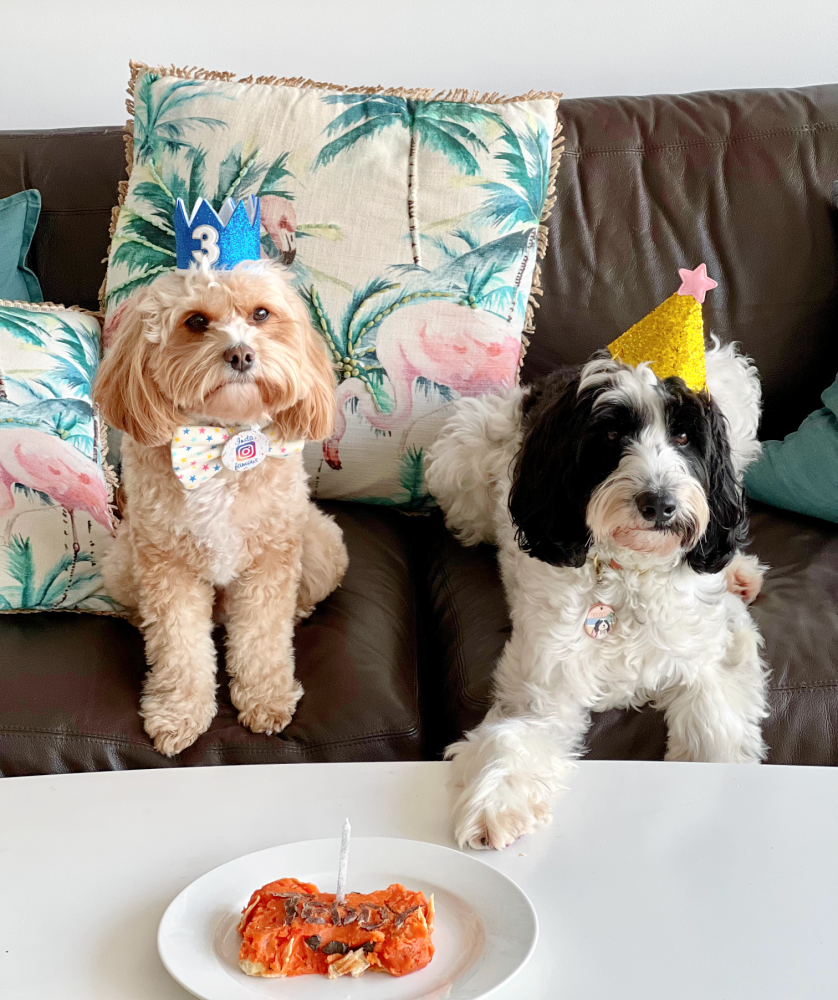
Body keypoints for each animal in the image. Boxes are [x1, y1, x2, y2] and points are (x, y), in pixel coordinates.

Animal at [430, 344, 772, 852]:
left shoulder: (710, 652)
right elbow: (514, 733)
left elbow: (717, 729)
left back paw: (739, 572)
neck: (628, 574)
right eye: (611, 433)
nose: (660, 504)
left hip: (735, 385)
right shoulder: (544, 683)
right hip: (459, 454)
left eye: (684, 435)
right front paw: (497, 801)